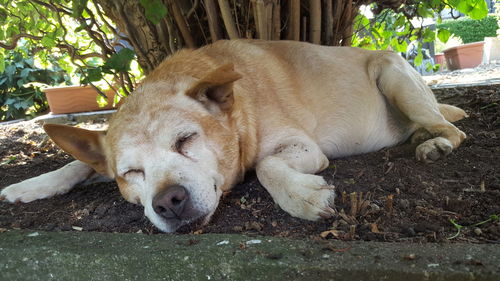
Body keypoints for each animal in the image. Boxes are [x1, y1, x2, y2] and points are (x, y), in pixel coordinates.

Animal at [1, 40, 466, 232]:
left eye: (185, 140)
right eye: (131, 173)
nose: (169, 202)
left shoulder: (302, 147)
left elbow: (265, 165)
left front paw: (303, 196)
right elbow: (78, 163)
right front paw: (29, 186)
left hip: (392, 73)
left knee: (455, 130)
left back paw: (434, 142)